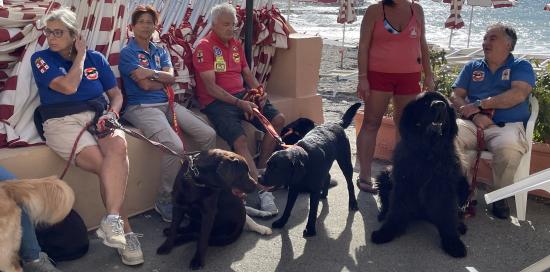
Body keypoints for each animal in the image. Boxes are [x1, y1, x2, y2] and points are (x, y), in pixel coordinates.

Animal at [262, 103, 362, 237]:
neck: (306, 161)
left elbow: (312, 212)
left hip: (345, 162)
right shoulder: (293, 189)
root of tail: (336, 123)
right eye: (267, 165)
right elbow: (287, 208)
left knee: (350, 184)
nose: (259, 178)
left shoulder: (313, 190)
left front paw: (310, 229)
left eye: (276, 169)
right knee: (328, 177)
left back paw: (353, 203)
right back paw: (324, 194)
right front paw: (281, 222)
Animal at [376, 91, 470, 258]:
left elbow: (447, 214)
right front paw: (387, 231)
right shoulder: (403, 182)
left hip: (463, 183)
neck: (428, 152)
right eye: (425, 102)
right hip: (385, 174)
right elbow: (396, 209)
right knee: (387, 202)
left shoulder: (444, 187)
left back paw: (459, 225)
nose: (439, 105)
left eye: (444, 102)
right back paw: (383, 214)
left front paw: (453, 242)